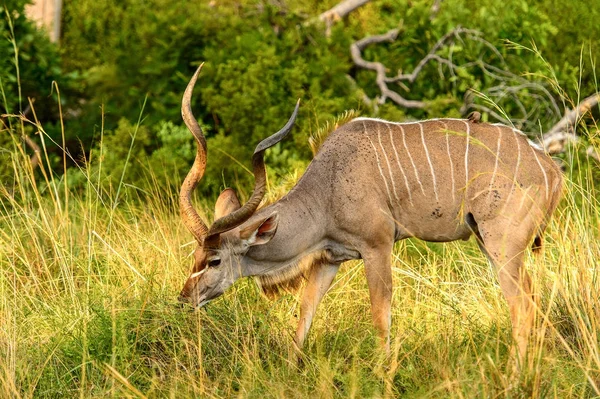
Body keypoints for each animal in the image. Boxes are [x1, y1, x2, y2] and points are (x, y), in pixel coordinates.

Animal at [178, 65, 564, 360]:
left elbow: (380, 317)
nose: (184, 299)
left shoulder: (377, 247)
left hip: (502, 245)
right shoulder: (329, 258)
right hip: (488, 242)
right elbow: (305, 313)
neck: (328, 189)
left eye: (213, 261)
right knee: (531, 301)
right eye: (194, 256)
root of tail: (550, 167)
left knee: (523, 306)